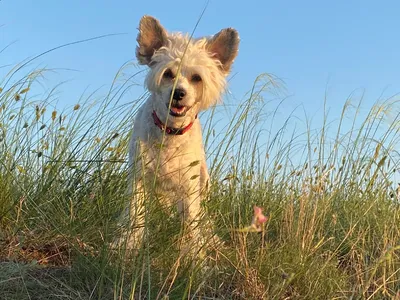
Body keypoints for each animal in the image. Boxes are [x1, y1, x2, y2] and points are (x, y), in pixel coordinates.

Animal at [123, 15, 239, 252]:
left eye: (196, 78)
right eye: (168, 74)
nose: (178, 93)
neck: (170, 132)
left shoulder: (189, 188)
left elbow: (191, 226)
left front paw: (194, 254)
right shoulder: (139, 178)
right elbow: (135, 217)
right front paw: (130, 245)